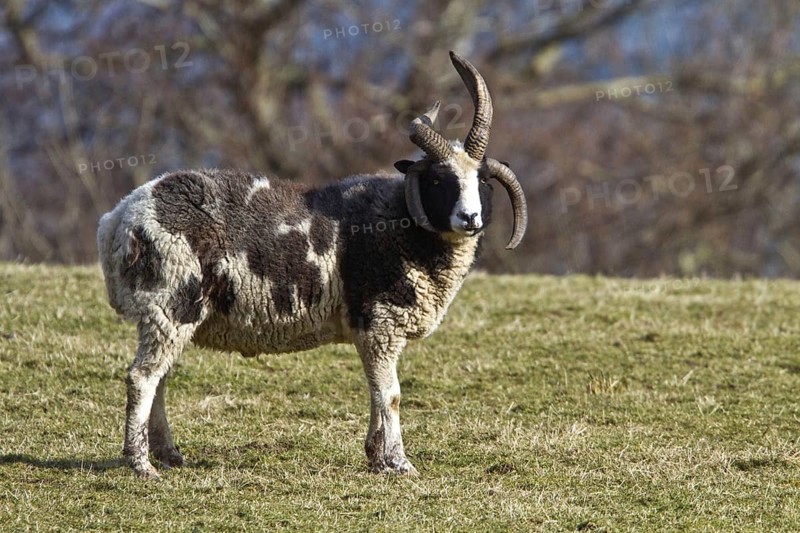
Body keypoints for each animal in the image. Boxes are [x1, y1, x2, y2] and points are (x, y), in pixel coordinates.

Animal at [97, 51, 528, 479]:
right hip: (169, 304)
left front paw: (376, 457)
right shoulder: (380, 323)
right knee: (142, 378)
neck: (400, 222)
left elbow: (375, 393)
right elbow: (390, 395)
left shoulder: (368, 331)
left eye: (483, 182)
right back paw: (141, 464)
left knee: (160, 378)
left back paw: (168, 454)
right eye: (439, 182)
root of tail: (119, 219)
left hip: (169, 314)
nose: (470, 218)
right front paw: (399, 462)